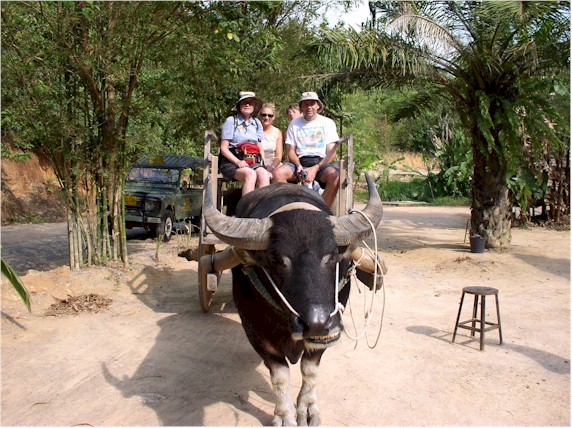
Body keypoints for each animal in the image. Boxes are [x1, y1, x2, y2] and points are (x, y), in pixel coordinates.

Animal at [203, 173, 383, 426]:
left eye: (332, 255)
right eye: (276, 260)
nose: (317, 322)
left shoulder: (324, 336)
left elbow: (310, 370)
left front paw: (307, 410)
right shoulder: (255, 331)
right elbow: (279, 375)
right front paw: (284, 415)